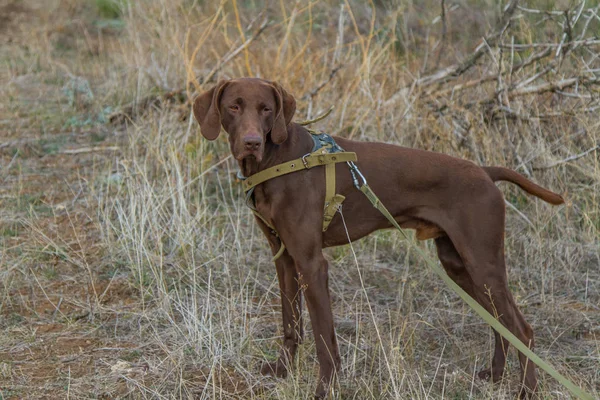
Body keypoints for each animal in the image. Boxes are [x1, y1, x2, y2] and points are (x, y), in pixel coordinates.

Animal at [192, 76, 564, 398]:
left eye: (267, 109)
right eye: (234, 106)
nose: (252, 142)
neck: (279, 160)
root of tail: (486, 172)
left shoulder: (312, 262)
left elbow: (324, 336)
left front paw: (325, 388)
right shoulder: (284, 257)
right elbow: (291, 324)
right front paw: (283, 371)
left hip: (482, 262)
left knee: (522, 329)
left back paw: (526, 390)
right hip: (459, 265)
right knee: (500, 324)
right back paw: (496, 376)